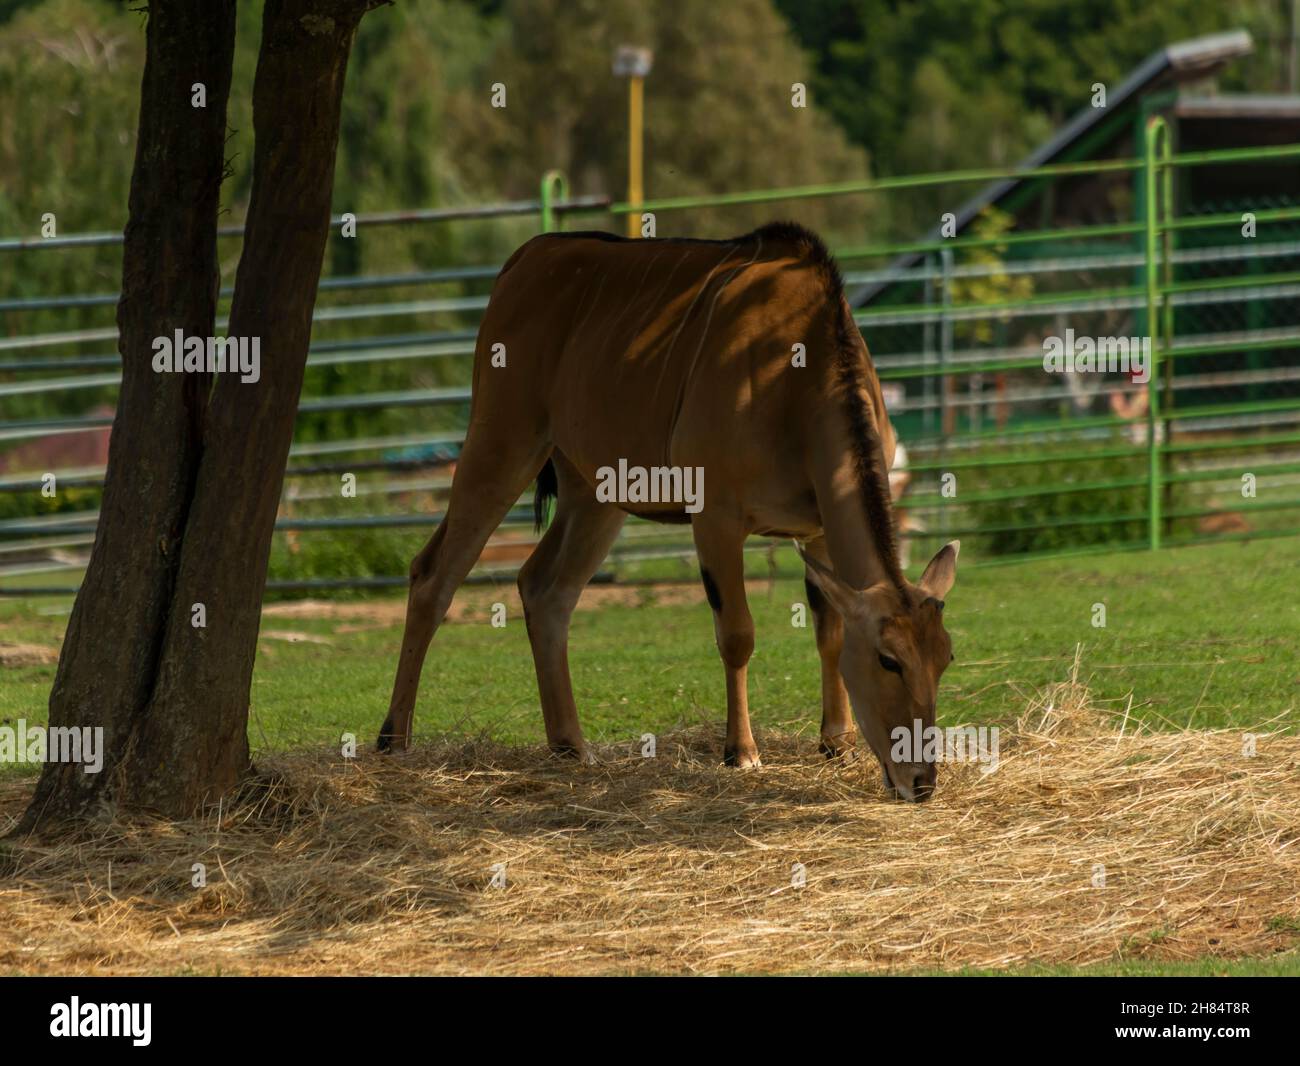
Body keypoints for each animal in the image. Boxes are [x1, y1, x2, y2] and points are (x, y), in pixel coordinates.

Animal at [379, 222, 961, 800]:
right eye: (889, 660)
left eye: (945, 658)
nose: (921, 782)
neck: (797, 370)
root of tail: (524, 258)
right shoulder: (717, 518)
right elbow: (738, 634)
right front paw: (741, 752)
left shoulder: (816, 531)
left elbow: (829, 631)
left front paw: (836, 744)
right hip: (502, 442)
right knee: (434, 575)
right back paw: (394, 740)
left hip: (594, 493)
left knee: (546, 588)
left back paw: (572, 746)